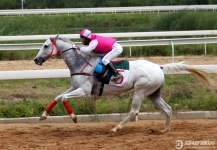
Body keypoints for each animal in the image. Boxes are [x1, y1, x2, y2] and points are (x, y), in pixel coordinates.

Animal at [33, 34, 215, 135]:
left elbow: (64, 98)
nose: (36, 59)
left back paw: (115, 129)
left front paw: (74, 117)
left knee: (134, 112)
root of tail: (158, 67)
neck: (81, 63)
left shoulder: (84, 91)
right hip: (153, 94)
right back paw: (165, 130)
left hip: (140, 91)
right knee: (168, 109)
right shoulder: (74, 87)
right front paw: (43, 115)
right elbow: (58, 97)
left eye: (46, 45)